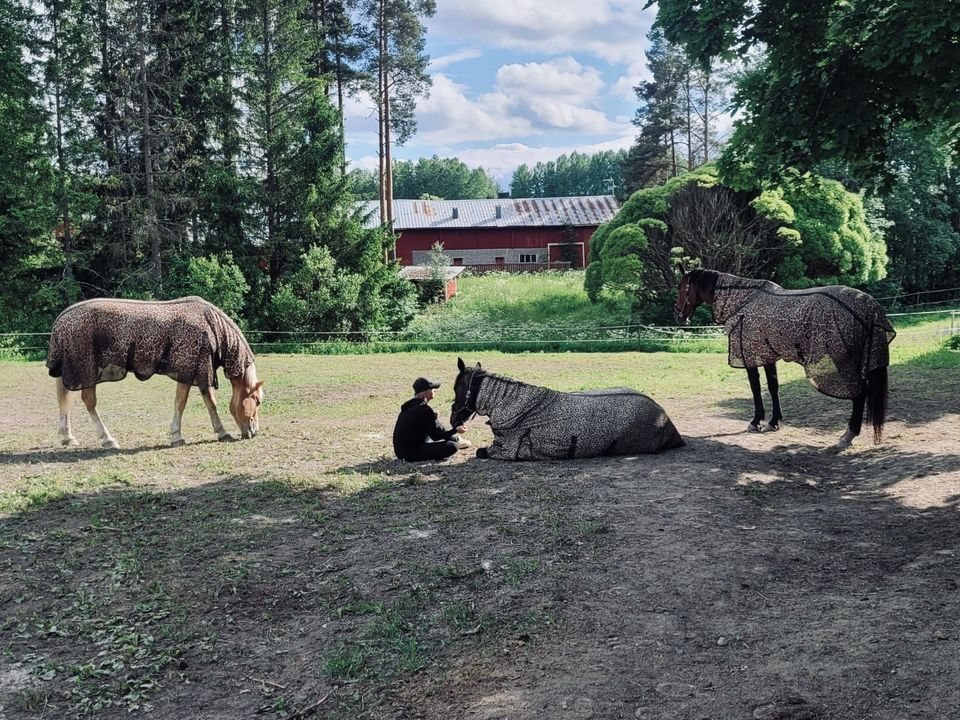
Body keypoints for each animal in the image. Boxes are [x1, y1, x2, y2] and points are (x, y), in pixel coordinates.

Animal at [45, 296, 262, 448]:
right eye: (257, 401)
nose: (254, 432)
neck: (210, 325)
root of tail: (62, 319)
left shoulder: (198, 371)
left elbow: (207, 402)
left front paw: (220, 432)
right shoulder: (192, 370)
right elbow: (187, 402)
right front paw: (179, 436)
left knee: (66, 400)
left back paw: (68, 436)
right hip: (87, 372)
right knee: (89, 402)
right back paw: (108, 439)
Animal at [676, 268, 892, 448]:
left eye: (680, 287)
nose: (678, 314)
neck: (743, 302)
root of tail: (871, 307)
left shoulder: (750, 356)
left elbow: (755, 387)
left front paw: (755, 422)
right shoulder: (767, 356)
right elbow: (773, 386)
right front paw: (773, 422)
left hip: (842, 362)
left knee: (859, 394)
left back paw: (847, 436)